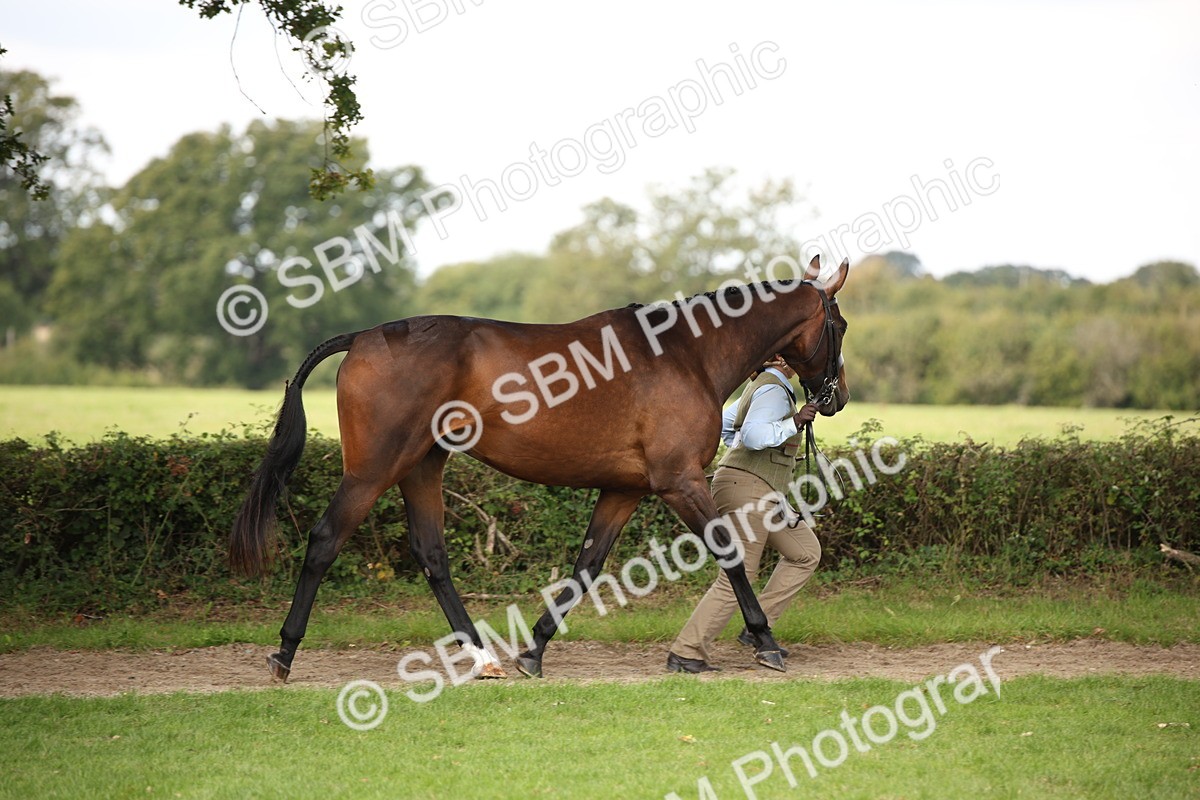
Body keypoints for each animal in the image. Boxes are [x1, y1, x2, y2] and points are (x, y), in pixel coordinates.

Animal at [230, 255, 851, 681]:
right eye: (840, 326)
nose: (836, 397)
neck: (685, 354)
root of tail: (363, 336)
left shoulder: (624, 490)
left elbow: (587, 566)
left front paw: (534, 649)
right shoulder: (680, 481)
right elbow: (727, 552)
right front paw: (765, 641)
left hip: (422, 466)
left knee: (431, 555)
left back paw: (484, 657)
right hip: (374, 469)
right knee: (325, 540)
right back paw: (284, 652)